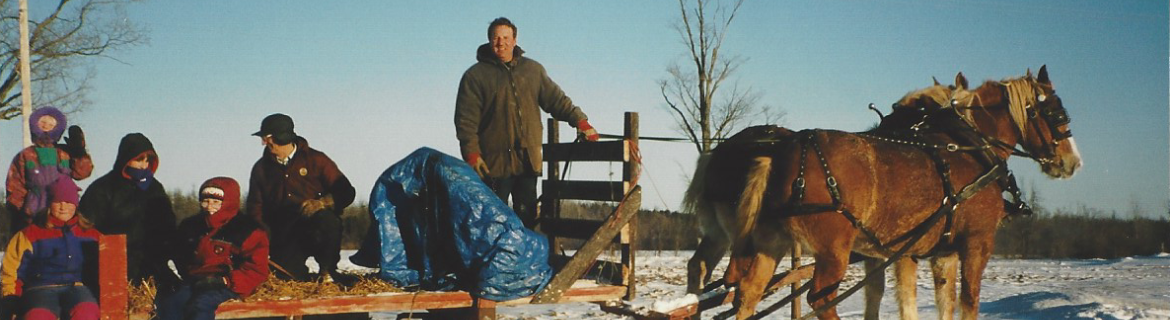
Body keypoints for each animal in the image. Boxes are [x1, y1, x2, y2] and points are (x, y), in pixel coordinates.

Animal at [725, 65, 1081, 320]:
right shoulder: (976, 243)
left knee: (748, 293)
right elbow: (968, 301)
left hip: (771, 244)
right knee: (820, 298)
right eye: (1057, 114)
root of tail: (784, 151)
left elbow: (937, 303)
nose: (1072, 162)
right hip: (833, 251)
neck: (970, 146)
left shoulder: (932, 252)